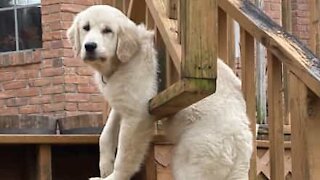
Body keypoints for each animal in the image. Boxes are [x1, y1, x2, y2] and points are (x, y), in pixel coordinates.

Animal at [67, 4, 252, 179]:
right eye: (86, 28)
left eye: (107, 31)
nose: (89, 46)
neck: (124, 61)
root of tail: (241, 146)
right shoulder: (121, 102)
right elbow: (105, 134)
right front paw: (105, 166)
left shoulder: (137, 116)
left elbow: (125, 156)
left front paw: (114, 177)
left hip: (188, 162)